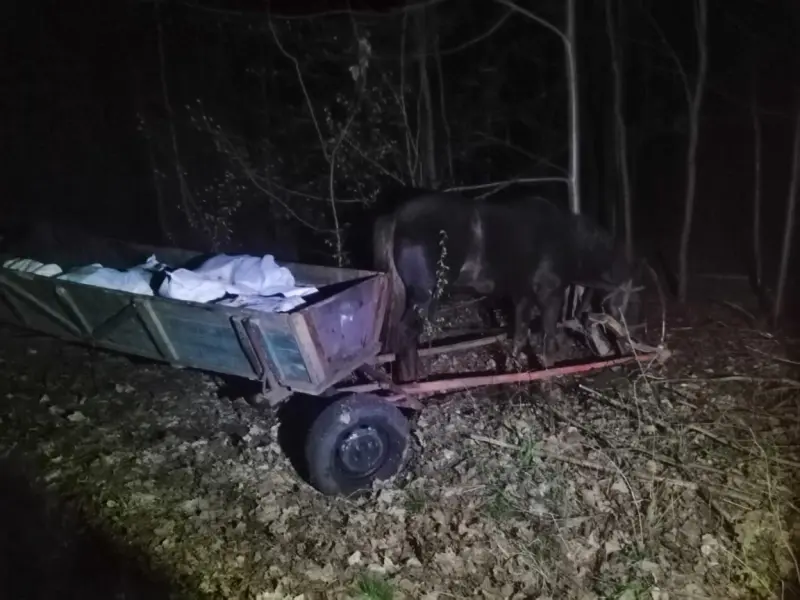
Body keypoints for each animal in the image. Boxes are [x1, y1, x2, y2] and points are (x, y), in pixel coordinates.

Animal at [372, 188, 644, 382]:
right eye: (622, 300)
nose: (625, 348)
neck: (569, 243)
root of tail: (396, 217)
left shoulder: (523, 297)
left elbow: (520, 334)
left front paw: (515, 371)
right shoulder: (550, 296)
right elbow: (548, 338)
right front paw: (549, 378)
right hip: (425, 297)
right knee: (407, 335)